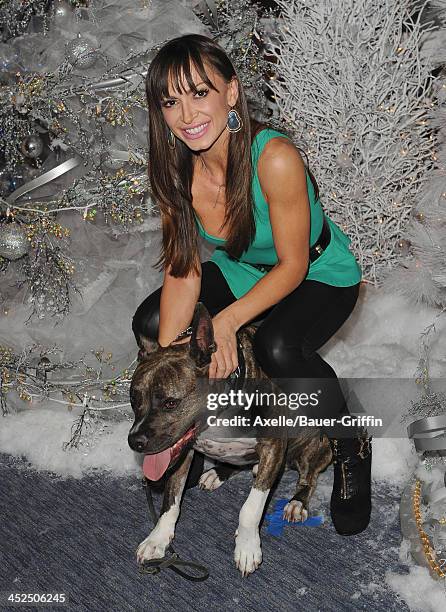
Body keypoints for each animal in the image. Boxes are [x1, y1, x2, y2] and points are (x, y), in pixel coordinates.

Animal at [128, 304, 332, 576]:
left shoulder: (273, 445)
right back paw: (218, 473)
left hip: (314, 441)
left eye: (171, 402)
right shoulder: (183, 452)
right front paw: (157, 538)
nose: (135, 441)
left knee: (309, 474)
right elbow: (171, 500)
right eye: (133, 398)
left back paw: (297, 502)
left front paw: (247, 547)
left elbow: (250, 509)